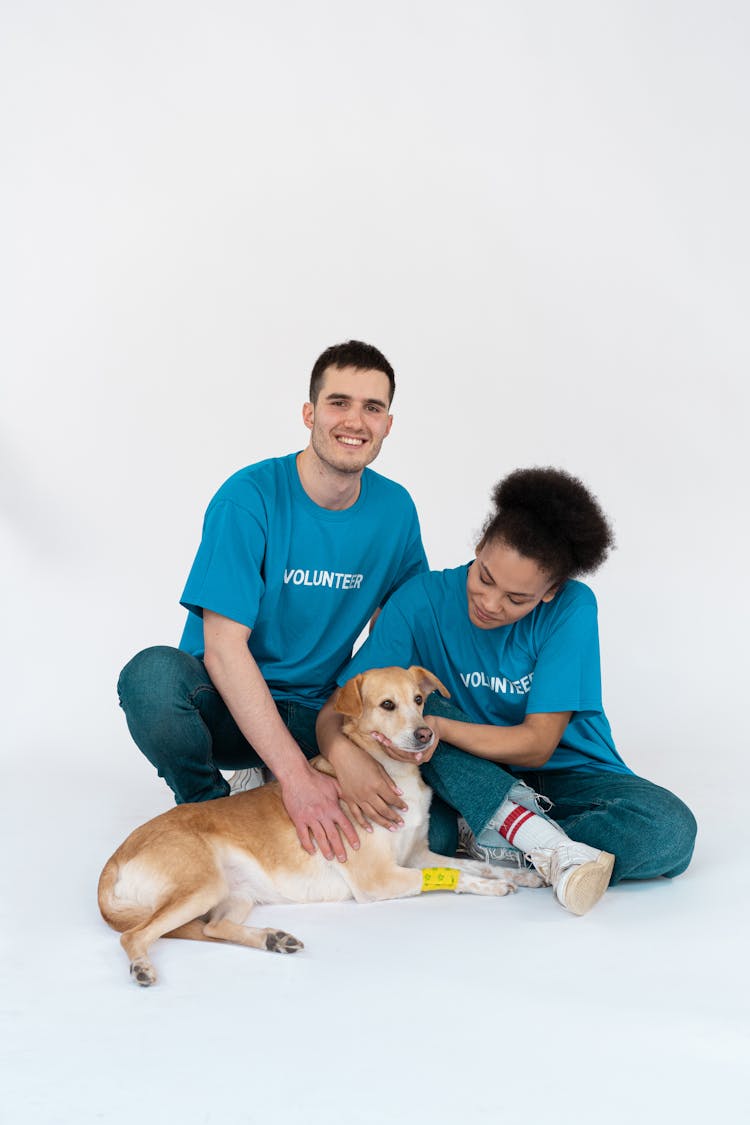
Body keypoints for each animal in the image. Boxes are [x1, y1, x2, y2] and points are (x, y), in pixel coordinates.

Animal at [99, 666, 539, 985]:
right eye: (387, 704)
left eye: (418, 700)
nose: (426, 733)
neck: (392, 774)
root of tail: (117, 855)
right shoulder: (379, 879)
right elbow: (455, 874)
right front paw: (492, 887)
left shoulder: (417, 854)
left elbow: (473, 864)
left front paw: (524, 876)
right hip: (201, 884)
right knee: (134, 935)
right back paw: (142, 967)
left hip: (232, 893)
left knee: (212, 929)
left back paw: (272, 939)